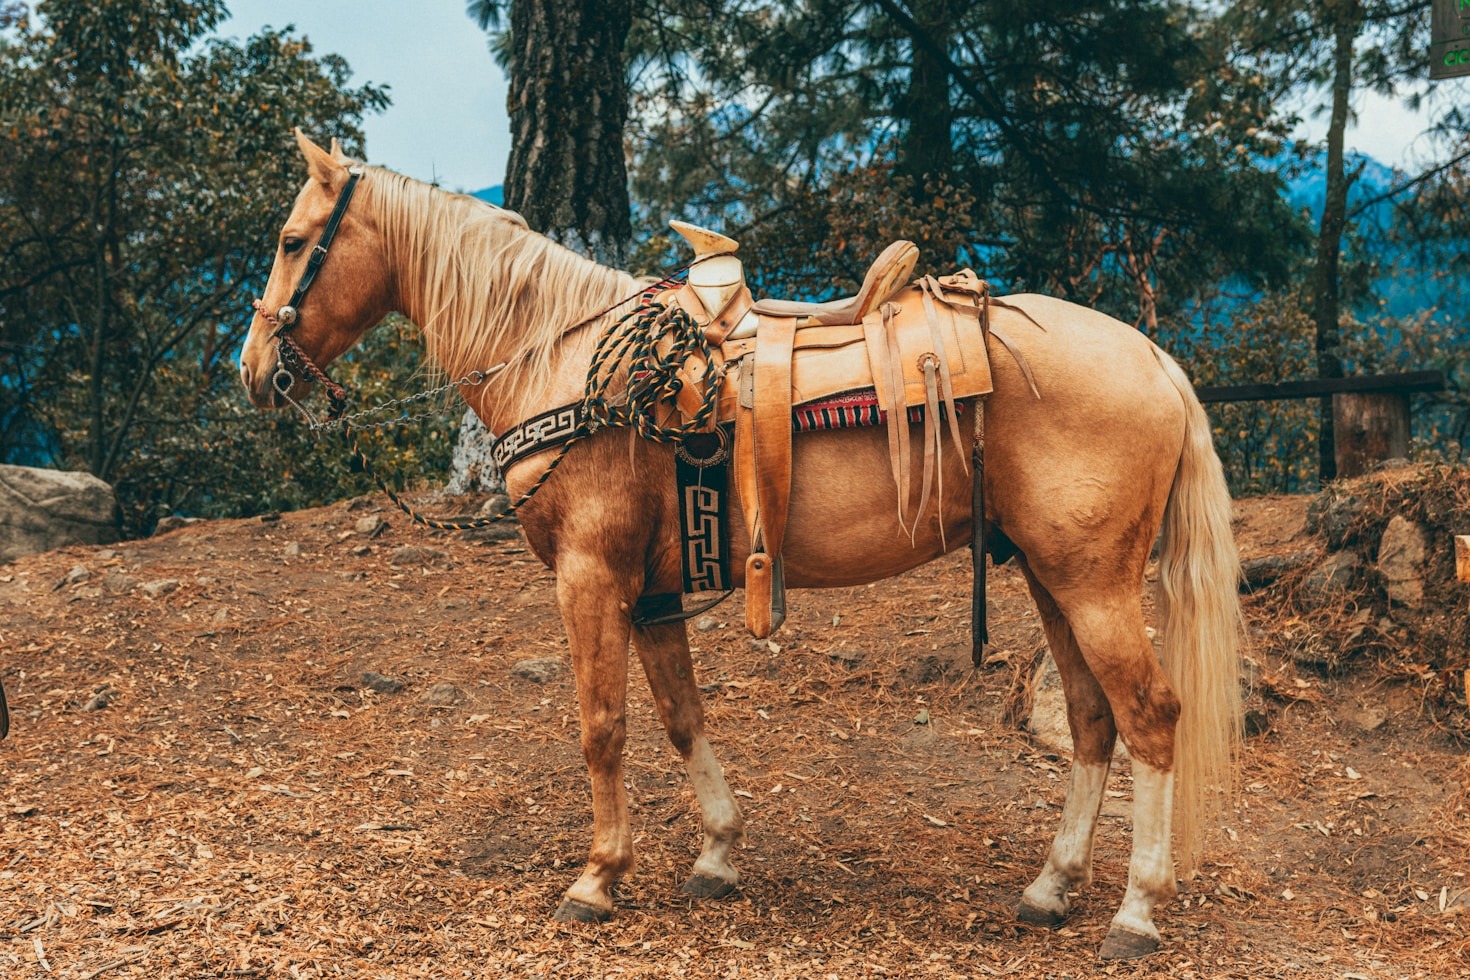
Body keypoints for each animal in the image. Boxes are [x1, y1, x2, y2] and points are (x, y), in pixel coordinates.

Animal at [239, 131, 1243, 960]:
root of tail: (1156, 361)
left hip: (1092, 584)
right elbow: (681, 717)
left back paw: (1136, 913)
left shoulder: (589, 576)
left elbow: (602, 726)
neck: (566, 363)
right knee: (1092, 720)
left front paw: (597, 878)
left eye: (292, 241)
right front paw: (716, 855)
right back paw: (1050, 888)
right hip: (1047, 576)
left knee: (1151, 717)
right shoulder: (649, 591)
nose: (254, 372)